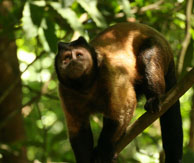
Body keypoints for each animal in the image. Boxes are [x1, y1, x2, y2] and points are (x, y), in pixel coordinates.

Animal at [55, 22, 183, 163]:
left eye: (78, 55)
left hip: (159, 47)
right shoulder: (64, 91)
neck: (87, 86)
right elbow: (78, 130)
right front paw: (87, 159)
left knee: (147, 56)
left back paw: (155, 98)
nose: (73, 61)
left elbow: (124, 108)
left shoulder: (109, 70)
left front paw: (103, 151)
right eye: (67, 57)